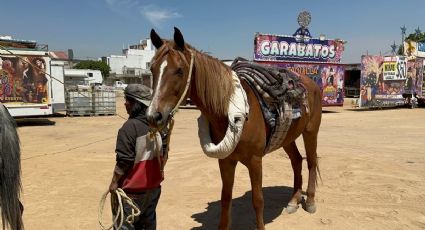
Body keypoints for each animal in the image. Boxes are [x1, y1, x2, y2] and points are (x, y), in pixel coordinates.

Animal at [146, 27, 322, 229]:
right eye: (152, 69)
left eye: (180, 70)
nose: (153, 116)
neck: (231, 110)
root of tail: (311, 83)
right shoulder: (225, 161)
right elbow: (226, 198)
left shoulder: (255, 161)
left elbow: (258, 200)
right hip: (287, 137)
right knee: (296, 161)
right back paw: (293, 201)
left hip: (311, 132)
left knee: (311, 162)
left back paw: (310, 201)